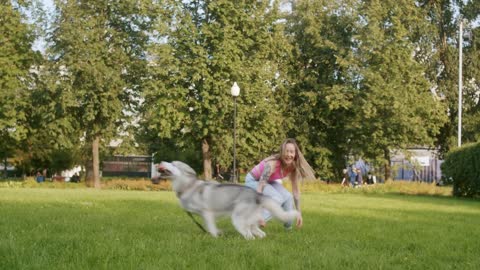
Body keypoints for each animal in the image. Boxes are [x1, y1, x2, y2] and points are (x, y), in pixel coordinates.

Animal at [158, 160, 298, 238]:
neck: (188, 186)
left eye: (173, 164)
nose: (160, 162)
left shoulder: (207, 213)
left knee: (249, 235)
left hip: (238, 219)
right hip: (251, 220)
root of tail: (257, 194)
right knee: (259, 232)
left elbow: (211, 228)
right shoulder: (205, 216)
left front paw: (215, 237)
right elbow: (211, 227)